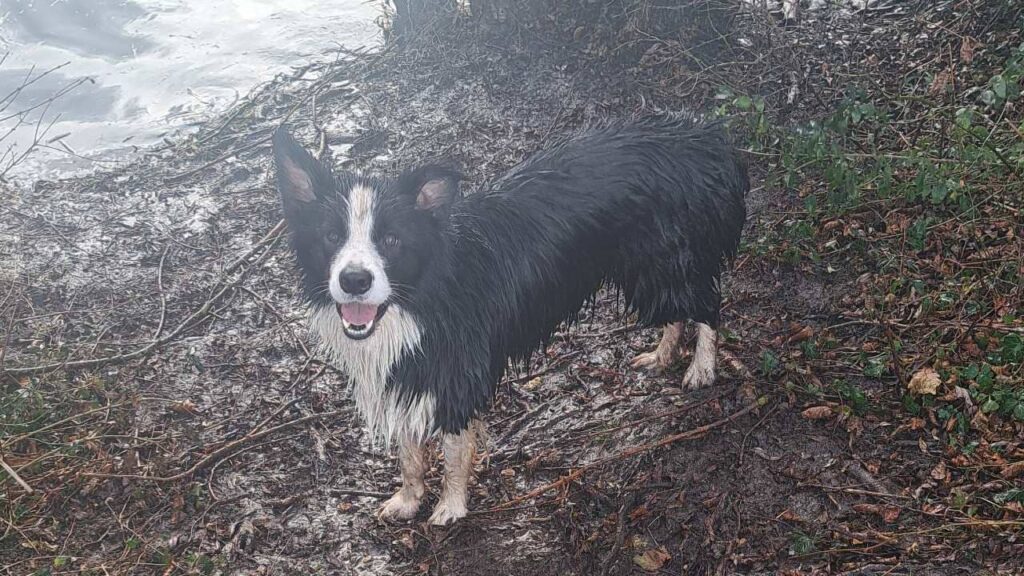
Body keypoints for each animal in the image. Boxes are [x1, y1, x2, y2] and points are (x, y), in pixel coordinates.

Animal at [276, 116, 749, 524]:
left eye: (391, 240)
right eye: (331, 237)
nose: (354, 280)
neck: (419, 296)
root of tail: (702, 140)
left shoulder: (456, 373)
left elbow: (453, 451)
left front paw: (450, 506)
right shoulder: (406, 374)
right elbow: (410, 453)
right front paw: (408, 500)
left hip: (664, 261)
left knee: (707, 305)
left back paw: (702, 368)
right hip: (649, 270)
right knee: (677, 312)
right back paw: (663, 355)